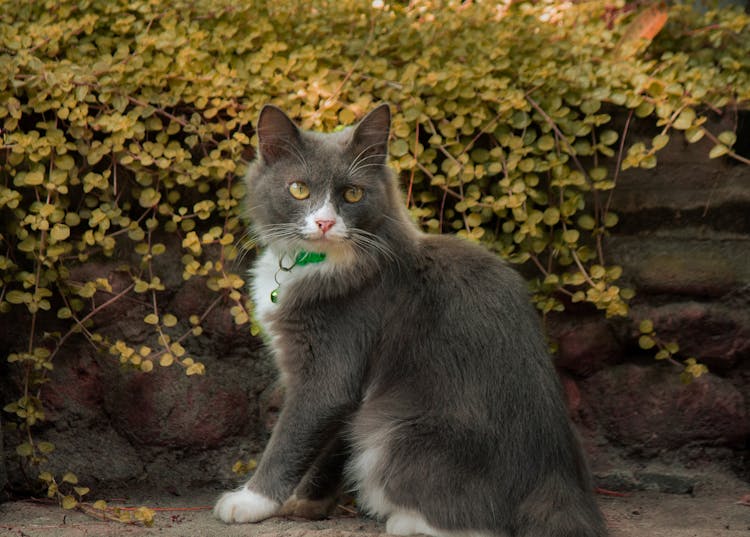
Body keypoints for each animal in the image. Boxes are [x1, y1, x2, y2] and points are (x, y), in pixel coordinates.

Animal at [213, 104, 612, 536]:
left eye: (352, 193)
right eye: (299, 189)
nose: (324, 223)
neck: (314, 263)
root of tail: (556, 483)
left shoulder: (332, 359)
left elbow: (291, 438)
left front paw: (250, 501)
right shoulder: (351, 390)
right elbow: (332, 444)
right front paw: (307, 502)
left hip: (393, 433)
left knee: (484, 523)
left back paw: (404, 520)